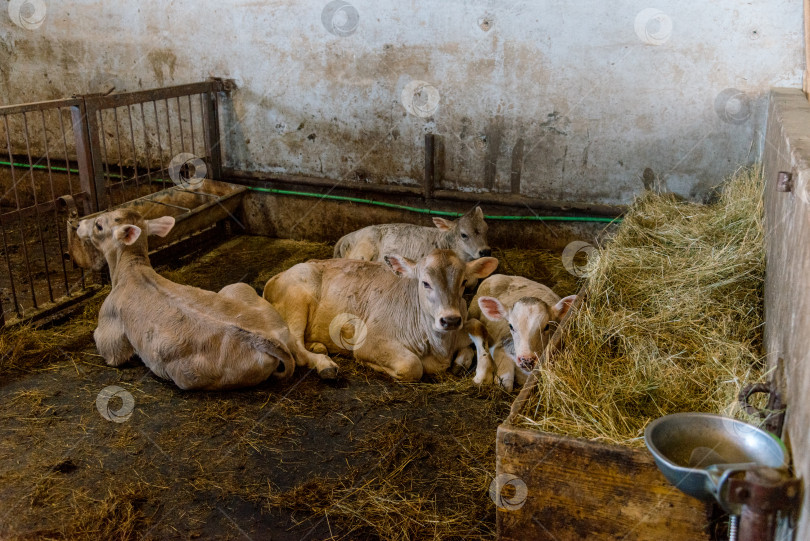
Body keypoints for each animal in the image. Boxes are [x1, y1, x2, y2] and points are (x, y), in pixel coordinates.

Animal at [71, 208, 338, 390]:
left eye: (98, 225)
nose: (78, 224)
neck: (132, 269)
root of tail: (268, 339)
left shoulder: (109, 327)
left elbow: (110, 350)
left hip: (186, 373)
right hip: (242, 292)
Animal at [262, 249, 498, 381]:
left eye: (463, 282)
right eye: (425, 283)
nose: (450, 320)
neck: (440, 347)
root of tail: (277, 276)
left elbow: (477, 328)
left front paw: (470, 367)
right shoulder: (370, 341)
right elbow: (413, 366)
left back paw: (319, 347)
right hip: (297, 302)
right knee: (295, 346)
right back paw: (325, 365)